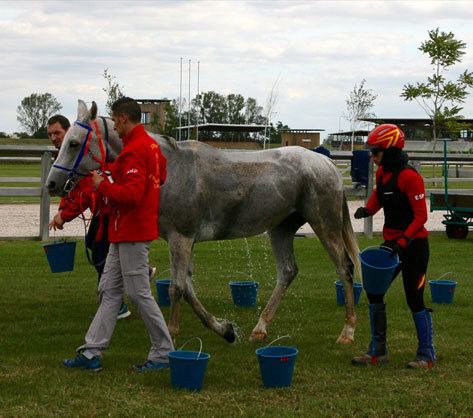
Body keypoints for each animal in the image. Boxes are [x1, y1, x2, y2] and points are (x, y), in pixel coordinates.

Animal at [46, 99, 360, 344]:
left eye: (74, 143)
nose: (52, 183)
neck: (167, 168)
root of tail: (327, 163)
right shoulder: (184, 241)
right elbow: (186, 287)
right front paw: (225, 329)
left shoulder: (181, 238)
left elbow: (177, 288)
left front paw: (171, 336)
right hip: (281, 229)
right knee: (287, 271)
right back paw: (260, 328)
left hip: (325, 224)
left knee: (344, 267)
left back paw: (347, 331)